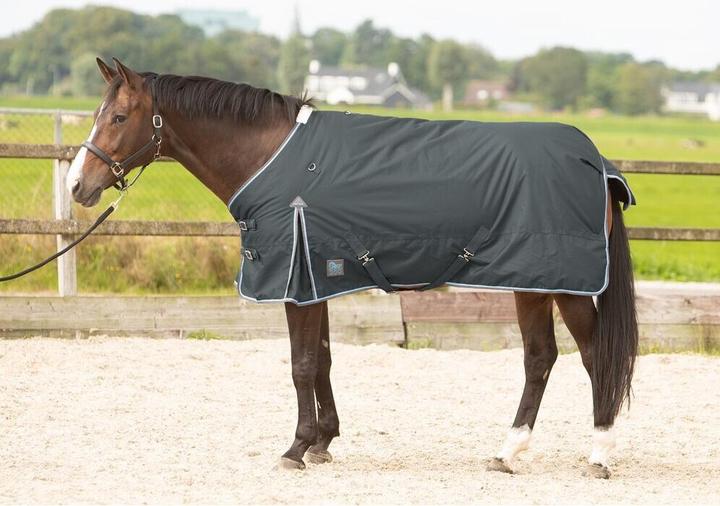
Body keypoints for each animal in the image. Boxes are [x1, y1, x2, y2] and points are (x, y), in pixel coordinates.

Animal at [67, 58, 638, 479]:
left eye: (118, 118)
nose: (77, 185)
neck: (272, 158)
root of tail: (596, 161)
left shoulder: (296, 280)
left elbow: (300, 364)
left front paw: (295, 448)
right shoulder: (315, 276)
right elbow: (321, 360)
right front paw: (323, 441)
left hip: (564, 284)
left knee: (594, 356)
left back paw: (599, 454)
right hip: (532, 282)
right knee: (540, 358)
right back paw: (507, 452)